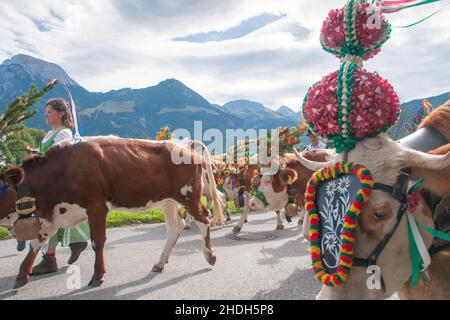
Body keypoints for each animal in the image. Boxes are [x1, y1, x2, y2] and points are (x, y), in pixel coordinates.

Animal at [0, 136, 224, 288]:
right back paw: (160, 263)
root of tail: (184, 143)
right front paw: (22, 275)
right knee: (175, 226)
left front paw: (98, 276)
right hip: (168, 200)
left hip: (188, 195)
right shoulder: (54, 214)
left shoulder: (96, 207)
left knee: (204, 218)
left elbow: (97, 242)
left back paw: (210, 255)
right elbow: (36, 243)